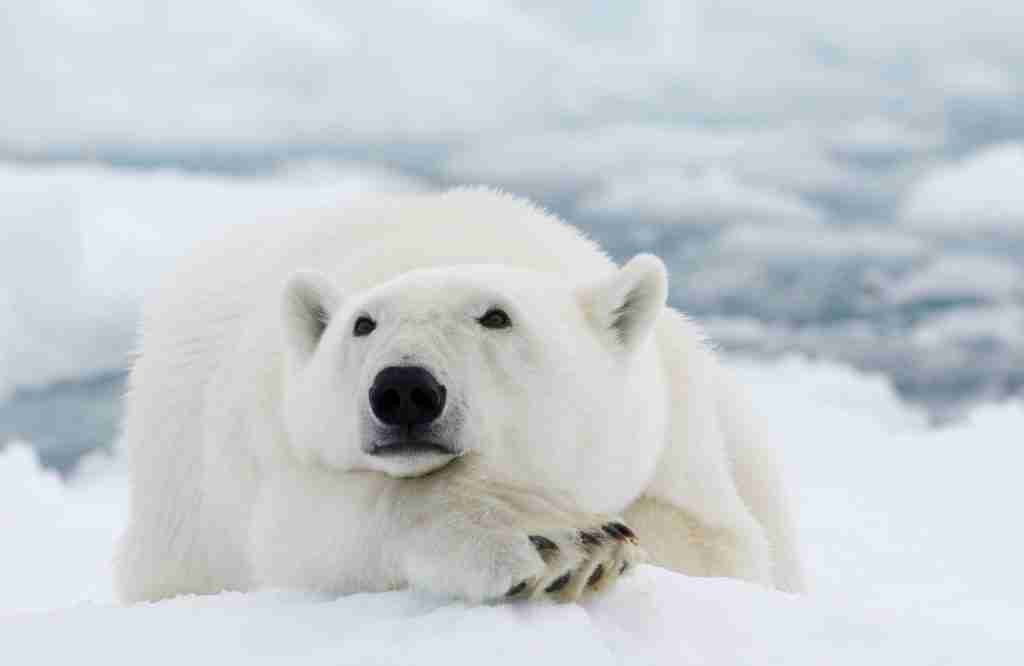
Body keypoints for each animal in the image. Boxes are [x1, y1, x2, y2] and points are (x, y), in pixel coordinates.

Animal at [116, 186, 802, 602]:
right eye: (363, 323)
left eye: (496, 317)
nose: (404, 390)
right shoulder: (268, 445)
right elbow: (302, 529)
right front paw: (557, 541)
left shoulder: (674, 438)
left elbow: (716, 544)